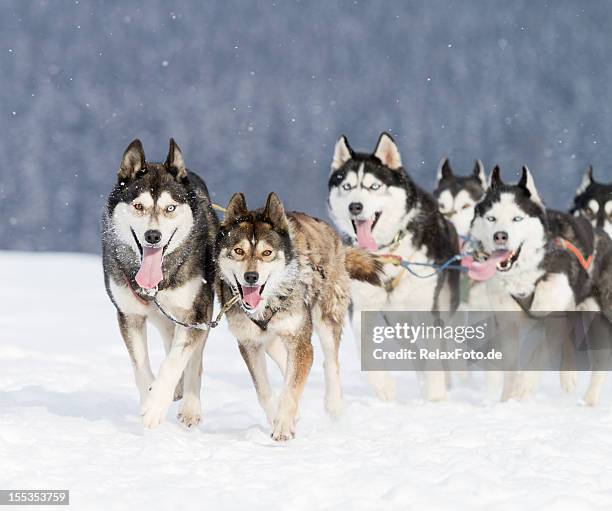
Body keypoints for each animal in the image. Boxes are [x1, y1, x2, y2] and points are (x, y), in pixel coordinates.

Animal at [104, 138, 219, 430]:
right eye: (138, 206)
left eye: (170, 208)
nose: (153, 236)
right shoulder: (129, 315)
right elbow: (141, 365)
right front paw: (149, 398)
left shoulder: (195, 315)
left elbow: (175, 363)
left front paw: (156, 406)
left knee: (193, 361)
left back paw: (189, 407)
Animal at [213, 192, 380, 440]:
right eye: (238, 251)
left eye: (267, 253)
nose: (251, 277)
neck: (268, 302)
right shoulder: (249, 343)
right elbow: (263, 390)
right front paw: (277, 416)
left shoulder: (300, 339)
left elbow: (292, 387)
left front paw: (283, 425)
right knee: (283, 357)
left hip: (326, 317)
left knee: (330, 362)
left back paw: (334, 405)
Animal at [328, 133, 456, 404]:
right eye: (347, 186)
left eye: (374, 186)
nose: (355, 206)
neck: (387, 251)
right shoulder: (362, 306)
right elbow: (365, 348)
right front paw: (384, 386)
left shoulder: (426, 308)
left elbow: (434, 355)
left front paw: (436, 395)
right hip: (397, 322)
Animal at [468, 166, 612, 402]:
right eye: (491, 218)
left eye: (517, 218)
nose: (500, 236)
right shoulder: (508, 322)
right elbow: (510, 367)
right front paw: (506, 401)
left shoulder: (552, 318)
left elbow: (536, 359)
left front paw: (522, 391)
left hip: (598, 318)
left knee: (600, 363)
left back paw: (589, 401)